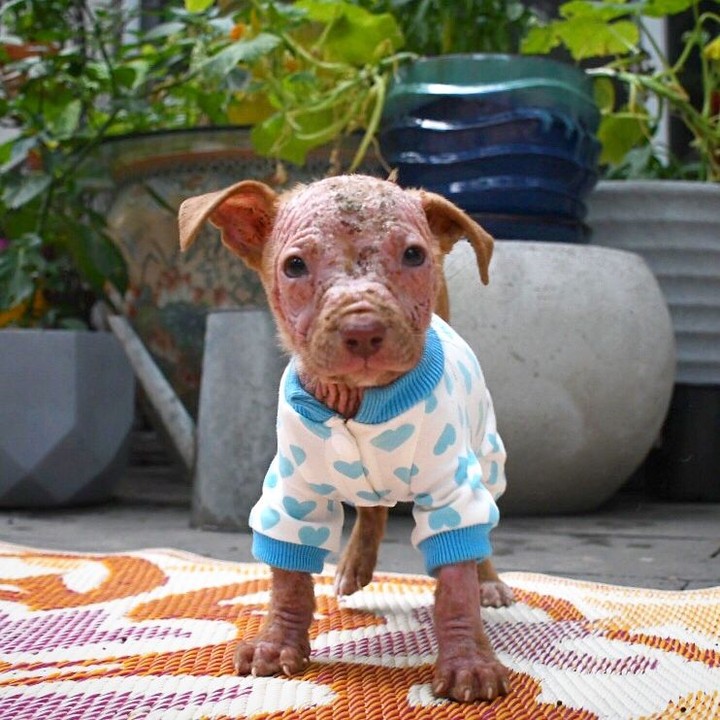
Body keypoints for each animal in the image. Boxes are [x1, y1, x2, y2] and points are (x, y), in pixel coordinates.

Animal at [178, 174, 516, 704]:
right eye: (295, 266)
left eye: (414, 255)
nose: (362, 329)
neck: (359, 401)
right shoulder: (292, 495)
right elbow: (288, 579)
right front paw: (278, 642)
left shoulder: (452, 491)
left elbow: (456, 582)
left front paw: (468, 661)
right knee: (372, 509)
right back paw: (355, 563)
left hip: (487, 459)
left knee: (479, 535)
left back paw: (489, 582)